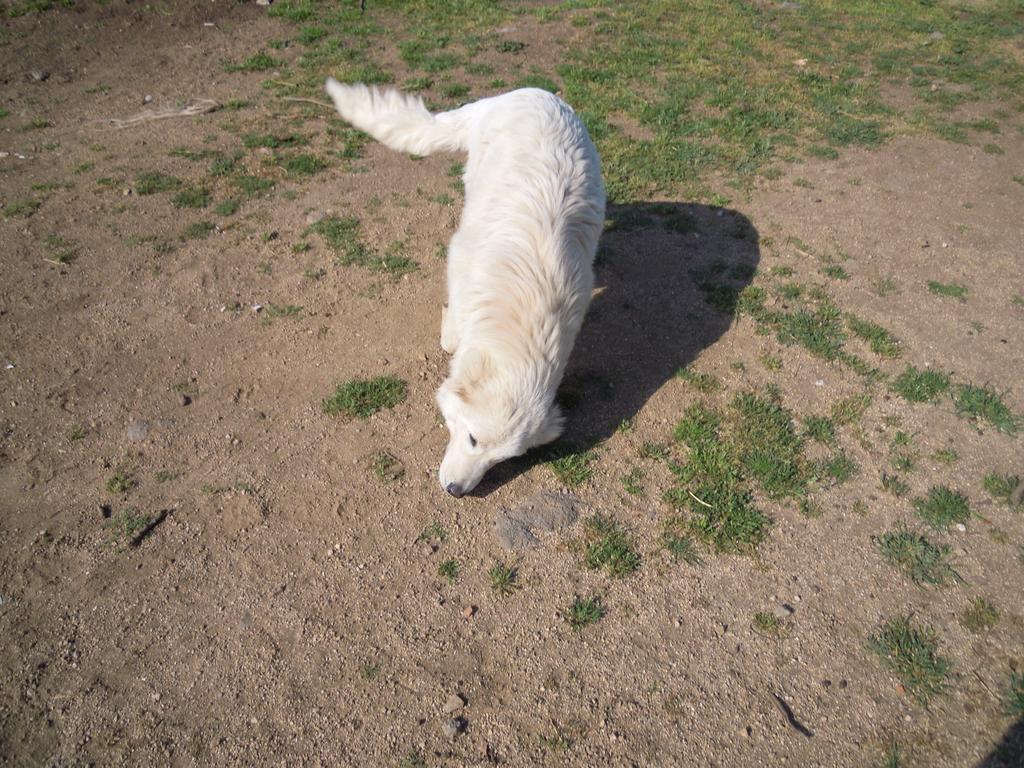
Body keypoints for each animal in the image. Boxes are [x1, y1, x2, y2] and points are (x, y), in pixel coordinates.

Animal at [323, 79, 602, 499]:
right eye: (471, 439)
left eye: (502, 460)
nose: (457, 490)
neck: (528, 312)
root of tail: (531, 91)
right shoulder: (460, 261)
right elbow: (453, 330)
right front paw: (451, 337)